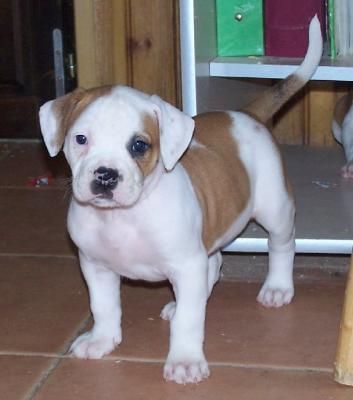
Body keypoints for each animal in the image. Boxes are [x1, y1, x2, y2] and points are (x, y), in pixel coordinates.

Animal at [39, 17, 322, 382]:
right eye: (81, 139)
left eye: (139, 145)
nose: (105, 176)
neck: (123, 217)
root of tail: (246, 114)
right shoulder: (95, 266)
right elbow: (102, 306)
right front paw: (101, 339)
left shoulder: (186, 265)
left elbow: (189, 322)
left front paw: (185, 360)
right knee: (213, 265)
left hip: (275, 210)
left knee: (282, 246)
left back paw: (277, 287)